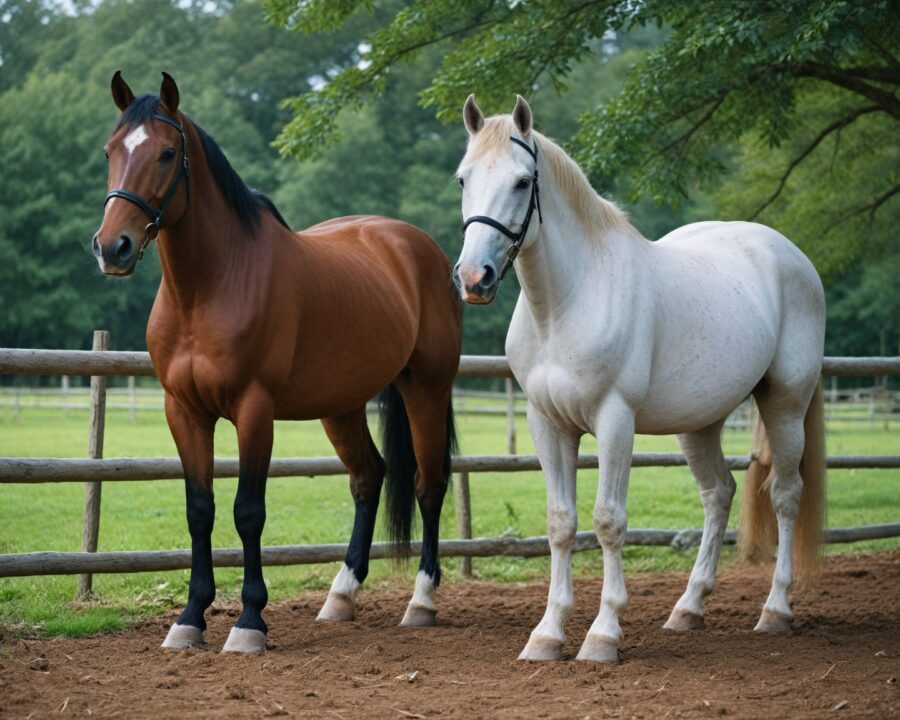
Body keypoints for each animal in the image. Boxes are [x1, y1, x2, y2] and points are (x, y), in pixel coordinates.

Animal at [91, 72, 461, 653]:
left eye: (167, 153)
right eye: (111, 150)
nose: (113, 248)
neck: (209, 286)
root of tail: (421, 248)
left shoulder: (254, 410)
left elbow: (248, 512)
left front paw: (249, 622)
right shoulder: (184, 411)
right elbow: (200, 510)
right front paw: (190, 618)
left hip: (426, 387)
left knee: (429, 484)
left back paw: (421, 602)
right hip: (341, 404)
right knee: (368, 477)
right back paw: (341, 596)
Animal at [454, 95, 826, 663]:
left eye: (522, 181)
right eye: (463, 178)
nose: (475, 278)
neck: (565, 303)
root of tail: (792, 256)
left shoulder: (614, 420)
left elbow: (609, 521)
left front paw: (603, 634)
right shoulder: (547, 423)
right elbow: (560, 523)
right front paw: (547, 634)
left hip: (784, 403)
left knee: (784, 494)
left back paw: (775, 611)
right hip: (700, 422)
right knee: (718, 493)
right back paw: (688, 609)